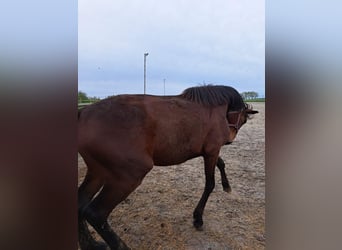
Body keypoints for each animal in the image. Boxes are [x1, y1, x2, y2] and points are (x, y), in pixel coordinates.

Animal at [78, 85, 256, 249]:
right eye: (243, 119)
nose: (230, 139)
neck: (216, 110)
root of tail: (84, 112)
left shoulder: (209, 151)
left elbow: (221, 163)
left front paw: (227, 186)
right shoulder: (212, 150)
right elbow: (210, 184)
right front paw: (198, 218)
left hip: (98, 172)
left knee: (81, 201)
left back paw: (91, 244)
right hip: (128, 176)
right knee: (96, 214)